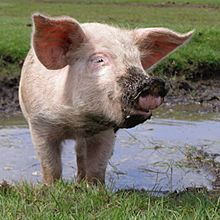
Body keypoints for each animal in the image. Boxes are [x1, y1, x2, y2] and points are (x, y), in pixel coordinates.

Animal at [18, 13, 193, 185]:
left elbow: (97, 167)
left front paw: (95, 188)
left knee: (80, 154)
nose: (152, 83)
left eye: (138, 61)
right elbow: (51, 166)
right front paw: (49, 187)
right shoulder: (39, 124)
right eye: (99, 60)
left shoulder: (107, 131)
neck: (78, 121)